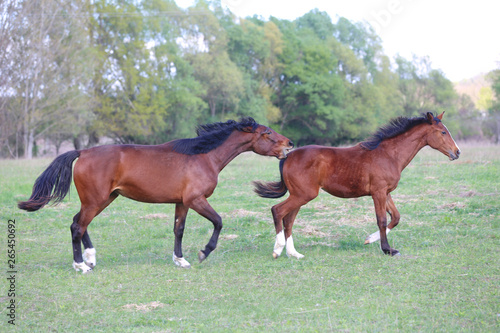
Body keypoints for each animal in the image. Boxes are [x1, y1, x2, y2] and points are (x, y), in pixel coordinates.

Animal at [18, 118, 292, 272]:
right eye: (267, 132)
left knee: (79, 223)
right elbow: (218, 222)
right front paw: (204, 252)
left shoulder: (182, 203)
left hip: (103, 199)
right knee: (77, 226)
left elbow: (178, 230)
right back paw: (81, 265)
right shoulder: (196, 200)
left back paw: (91, 258)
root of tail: (82, 152)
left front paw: (180, 260)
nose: (289, 144)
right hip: (95, 200)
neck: (203, 157)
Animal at [254, 111, 460, 256]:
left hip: (299, 195)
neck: (389, 154)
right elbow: (382, 220)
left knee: (288, 219)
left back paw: (293, 254)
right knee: (277, 211)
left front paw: (369, 239)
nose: (457, 152)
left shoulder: (386, 192)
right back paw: (277, 250)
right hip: (303, 194)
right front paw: (387, 249)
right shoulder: (378, 192)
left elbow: (396, 217)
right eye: (443, 132)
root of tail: (287, 156)